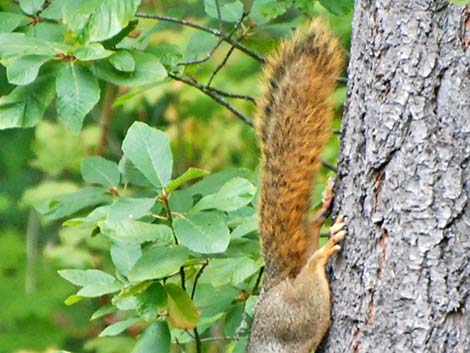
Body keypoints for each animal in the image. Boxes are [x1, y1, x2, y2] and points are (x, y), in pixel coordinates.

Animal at [248, 20, 346, 352]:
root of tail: (274, 286)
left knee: (312, 269)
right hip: (302, 316)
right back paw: (323, 216)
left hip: (302, 314)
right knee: (309, 245)